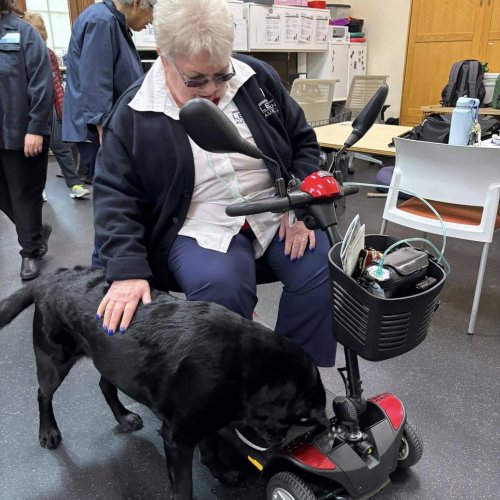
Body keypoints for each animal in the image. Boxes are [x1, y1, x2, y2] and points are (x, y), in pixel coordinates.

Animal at [0, 268, 328, 498]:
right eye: (299, 418)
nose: (283, 441)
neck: (245, 366)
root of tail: (51, 277)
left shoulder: (204, 420)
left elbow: (210, 448)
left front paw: (222, 472)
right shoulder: (177, 438)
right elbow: (184, 488)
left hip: (112, 357)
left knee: (105, 385)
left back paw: (124, 416)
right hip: (54, 359)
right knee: (43, 394)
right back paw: (48, 432)